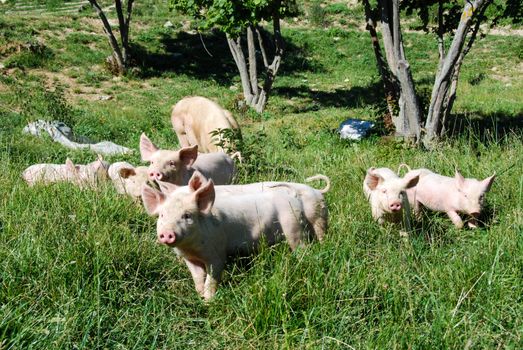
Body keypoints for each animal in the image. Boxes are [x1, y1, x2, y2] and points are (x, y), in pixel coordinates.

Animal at [141, 171, 326, 300]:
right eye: (162, 215)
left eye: (187, 215)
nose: (167, 233)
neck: (192, 248)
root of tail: (293, 197)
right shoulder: (189, 259)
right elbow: (197, 278)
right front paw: (199, 296)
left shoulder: (216, 253)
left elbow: (212, 278)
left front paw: (208, 301)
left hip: (296, 227)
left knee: (304, 247)